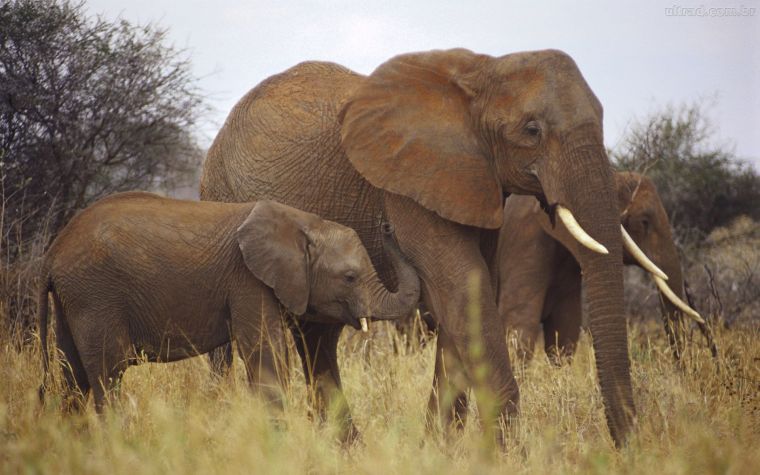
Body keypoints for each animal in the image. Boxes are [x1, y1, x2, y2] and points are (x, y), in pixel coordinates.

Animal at [37, 192, 419, 413]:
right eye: (350, 277)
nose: (386, 224)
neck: (302, 222)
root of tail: (51, 256)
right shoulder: (247, 281)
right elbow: (266, 355)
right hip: (96, 295)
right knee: (108, 374)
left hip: (76, 300)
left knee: (73, 377)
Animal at [200, 48, 650, 446]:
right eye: (532, 130)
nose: (628, 447)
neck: (481, 72)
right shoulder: (406, 188)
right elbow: (463, 288)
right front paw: (509, 455)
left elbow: (465, 297)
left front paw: (438, 451)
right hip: (220, 199)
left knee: (318, 339)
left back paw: (346, 448)